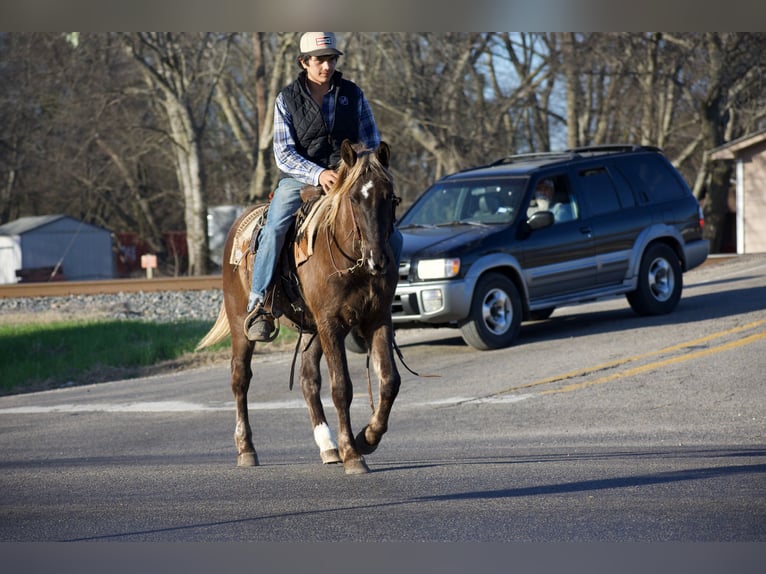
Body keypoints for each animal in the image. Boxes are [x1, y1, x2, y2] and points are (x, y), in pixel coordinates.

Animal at [196, 140, 401, 475]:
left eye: (390, 197)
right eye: (354, 198)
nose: (378, 259)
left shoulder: (377, 319)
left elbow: (389, 381)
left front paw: (367, 438)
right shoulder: (331, 324)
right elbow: (341, 387)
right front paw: (352, 454)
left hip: (311, 329)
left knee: (307, 380)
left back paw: (328, 447)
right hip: (243, 325)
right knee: (240, 378)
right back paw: (246, 449)